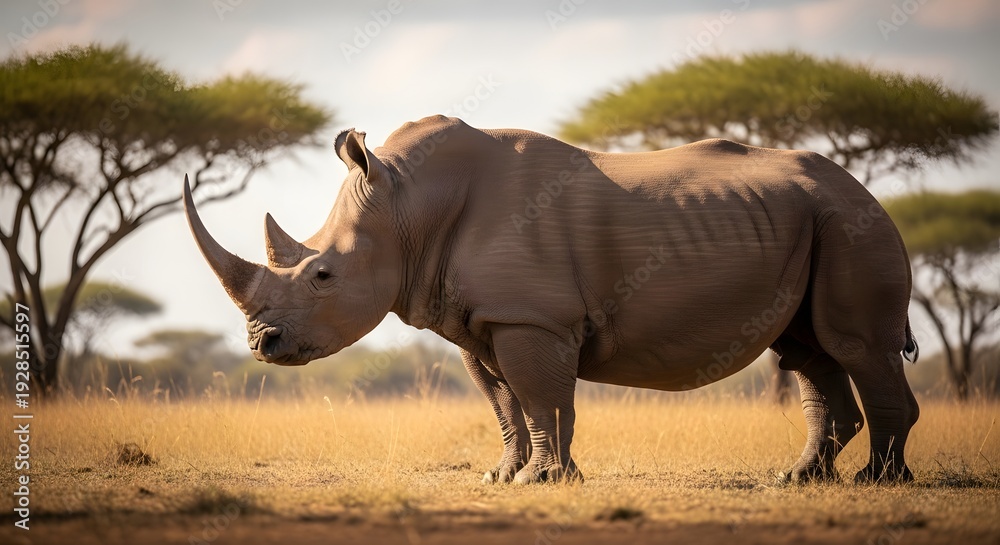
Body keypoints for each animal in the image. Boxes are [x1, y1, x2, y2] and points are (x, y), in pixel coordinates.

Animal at [184, 115, 920, 485]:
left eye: (323, 276)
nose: (262, 344)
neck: (408, 207)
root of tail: (865, 190)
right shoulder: (482, 321)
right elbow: (507, 404)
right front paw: (507, 478)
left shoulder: (531, 316)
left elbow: (538, 397)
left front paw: (540, 481)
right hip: (813, 219)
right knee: (808, 352)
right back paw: (801, 480)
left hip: (852, 222)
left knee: (855, 346)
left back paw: (877, 483)